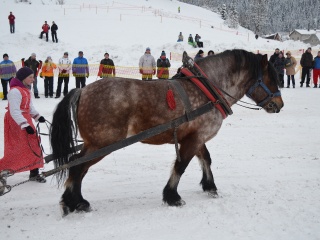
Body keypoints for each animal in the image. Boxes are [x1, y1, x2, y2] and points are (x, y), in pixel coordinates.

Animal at [50, 49, 284, 216]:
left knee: (77, 167)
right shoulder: (194, 139)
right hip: (102, 144)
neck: (207, 90)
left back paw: (76, 201)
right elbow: (181, 166)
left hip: (95, 144)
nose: (279, 104)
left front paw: (210, 187)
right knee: (77, 166)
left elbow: (206, 159)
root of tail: (82, 90)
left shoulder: (196, 137)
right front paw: (172, 196)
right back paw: (73, 202)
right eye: (271, 78)